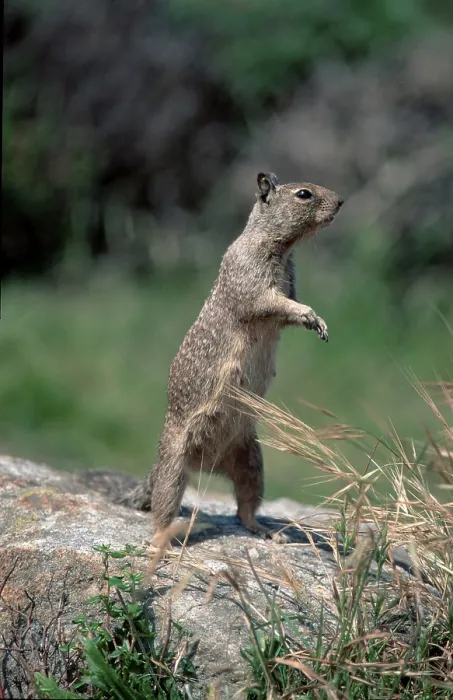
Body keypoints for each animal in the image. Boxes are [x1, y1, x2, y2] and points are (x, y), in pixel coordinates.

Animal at [121, 172, 343, 541]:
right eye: (304, 194)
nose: (341, 201)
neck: (281, 247)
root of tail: (207, 463)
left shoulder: (290, 281)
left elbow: (289, 309)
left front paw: (319, 322)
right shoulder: (251, 276)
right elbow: (271, 302)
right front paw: (311, 315)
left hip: (252, 461)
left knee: (245, 507)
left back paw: (266, 530)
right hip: (174, 467)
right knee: (163, 509)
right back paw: (159, 540)